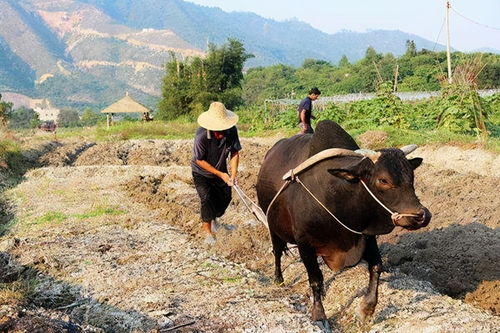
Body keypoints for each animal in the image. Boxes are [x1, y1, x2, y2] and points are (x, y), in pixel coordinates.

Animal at [256, 119, 432, 324]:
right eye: (383, 180)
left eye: (411, 177)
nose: (422, 216)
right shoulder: (304, 243)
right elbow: (315, 279)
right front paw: (319, 314)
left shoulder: (366, 236)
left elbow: (376, 266)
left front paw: (367, 308)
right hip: (272, 226)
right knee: (277, 252)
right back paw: (278, 279)